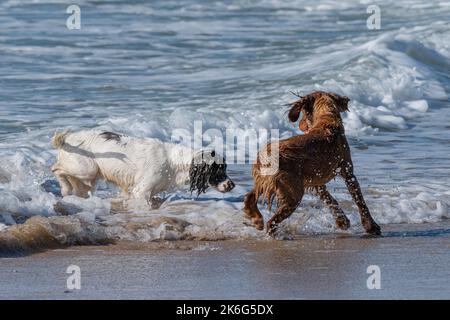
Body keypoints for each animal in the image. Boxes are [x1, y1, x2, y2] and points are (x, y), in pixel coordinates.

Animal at [51, 129, 236, 206]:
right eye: (219, 169)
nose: (232, 185)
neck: (174, 162)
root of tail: (67, 140)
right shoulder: (141, 190)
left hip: (87, 179)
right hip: (86, 169)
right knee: (56, 169)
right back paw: (65, 188)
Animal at [244, 91, 382, 236]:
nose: (301, 124)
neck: (326, 117)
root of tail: (265, 157)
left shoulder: (316, 182)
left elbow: (329, 199)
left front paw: (342, 221)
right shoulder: (347, 171)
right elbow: (360, 200)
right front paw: (371, 226)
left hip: (268, 182)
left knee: (250, 197)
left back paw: (256, 219)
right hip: (293, 192)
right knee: (272, 222)